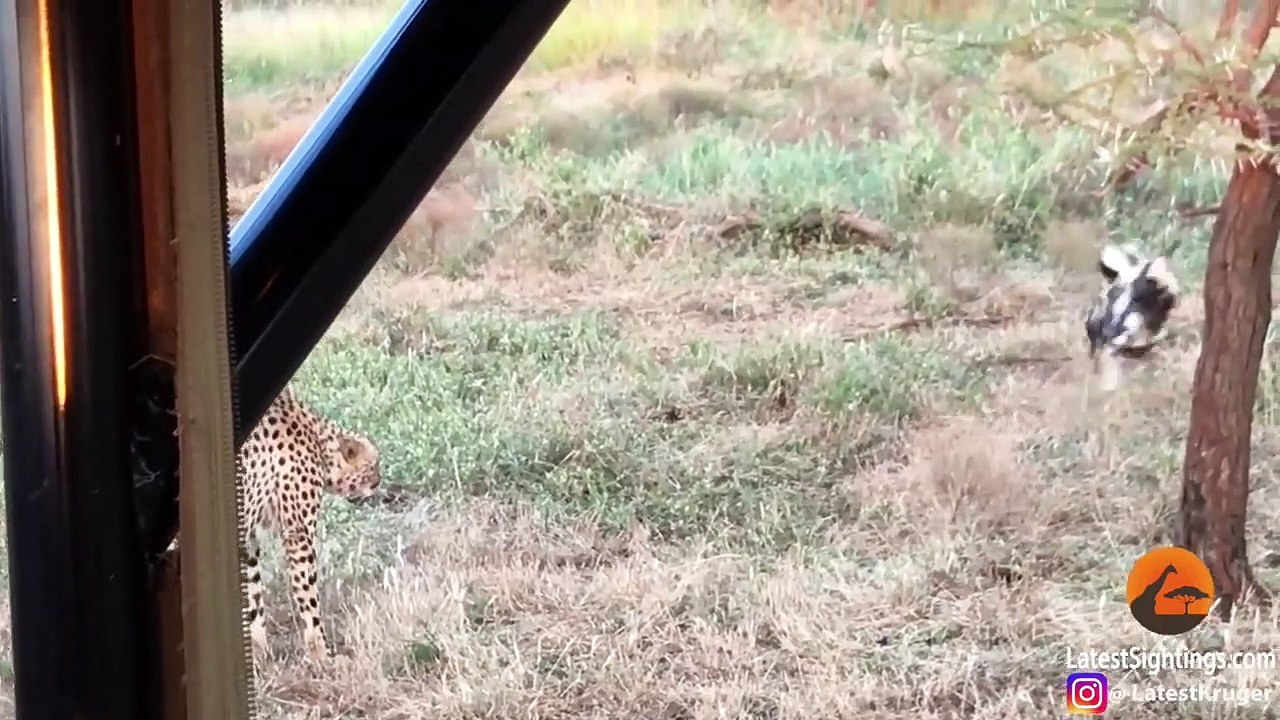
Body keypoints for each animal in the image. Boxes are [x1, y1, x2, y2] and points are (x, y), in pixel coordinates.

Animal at [239, 386, 381, 661]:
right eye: (374, 465)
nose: (380, 480)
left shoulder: (247, 536)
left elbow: (253, 594)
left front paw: (259, 650)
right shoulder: (298, 533)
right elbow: (308, 592)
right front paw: (321, 652)